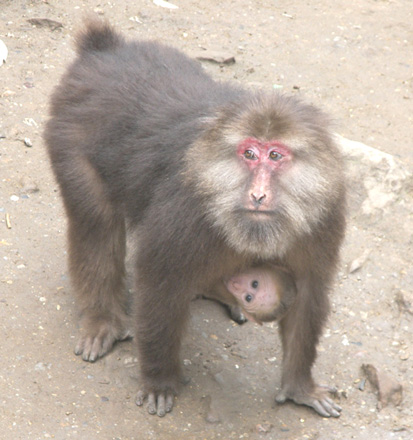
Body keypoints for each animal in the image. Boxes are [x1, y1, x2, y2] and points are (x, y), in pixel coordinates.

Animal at [45, 20, 346, 420]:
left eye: (275, 155)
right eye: (249, 153)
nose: (258, 194)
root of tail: (105, 50)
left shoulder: (324, 218)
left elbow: (308, 293)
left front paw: (300, 386)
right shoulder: (184, 215)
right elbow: (160, 285)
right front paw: (160, 381)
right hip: (70, 137)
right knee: (96, 224)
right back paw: (103, 318)